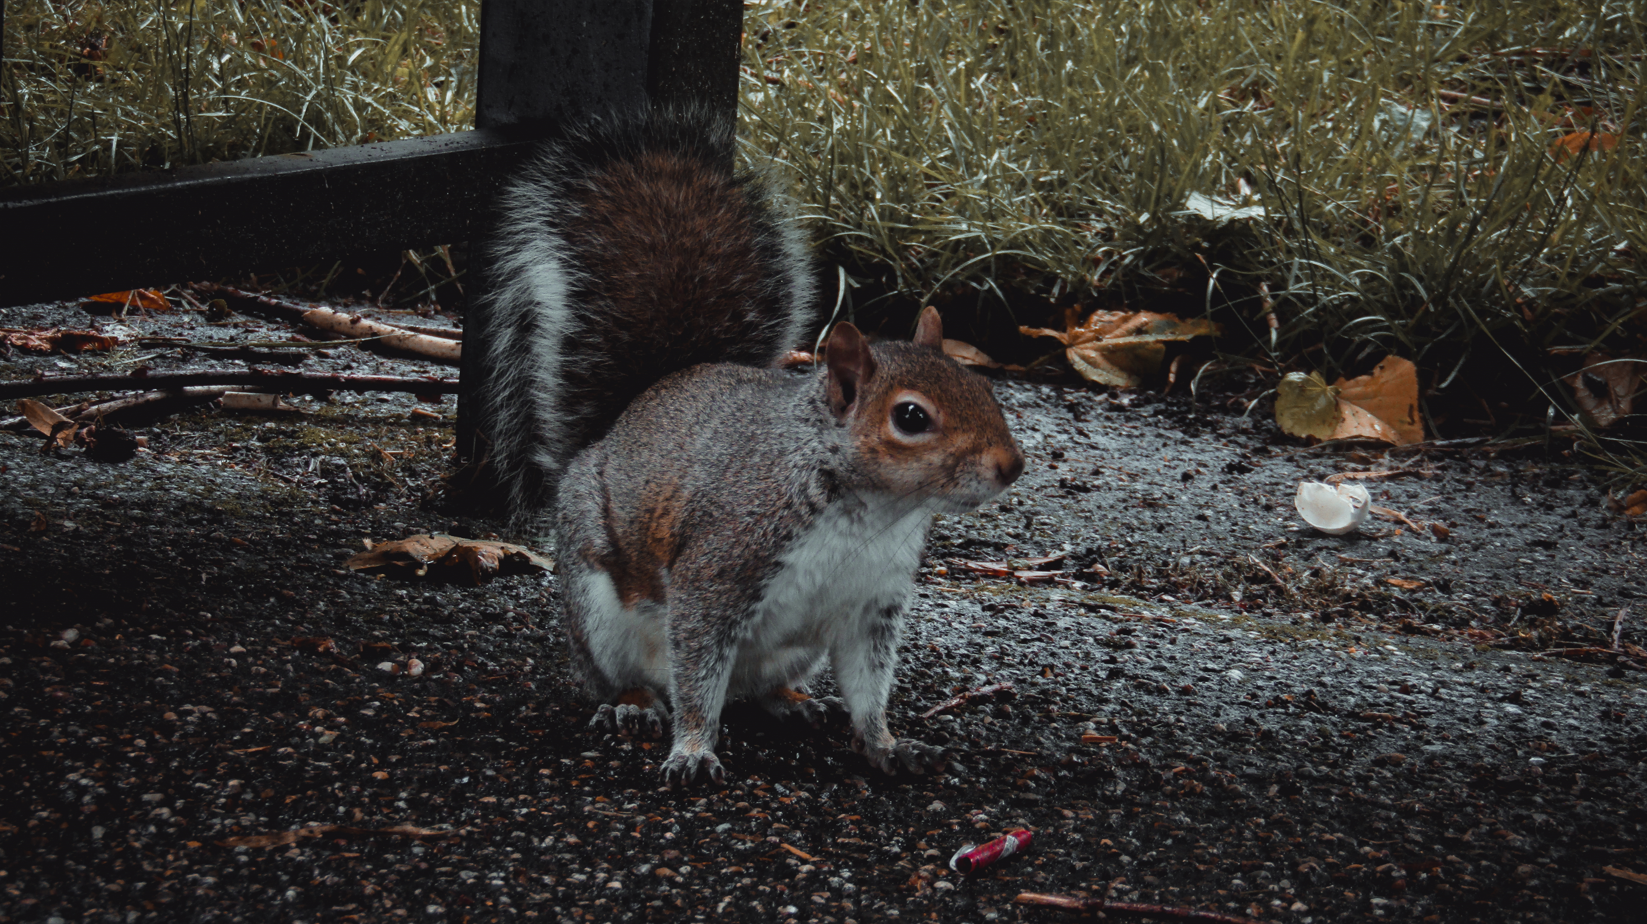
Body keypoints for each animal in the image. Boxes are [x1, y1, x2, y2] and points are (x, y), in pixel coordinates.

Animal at [467, 108, 1025, 786]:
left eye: (985, 387)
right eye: (911, 417)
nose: (1012, 466)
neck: (869, 511)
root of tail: (618, 424)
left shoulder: (873, 605)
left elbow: (869, 686)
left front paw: (887, 743)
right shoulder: (721, 567)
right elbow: (698, 676)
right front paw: (692, 749)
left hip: (796, 651)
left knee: (753, 690)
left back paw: (790, 701)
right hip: (595, 608)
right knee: (623, 678)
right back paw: (632, 704)